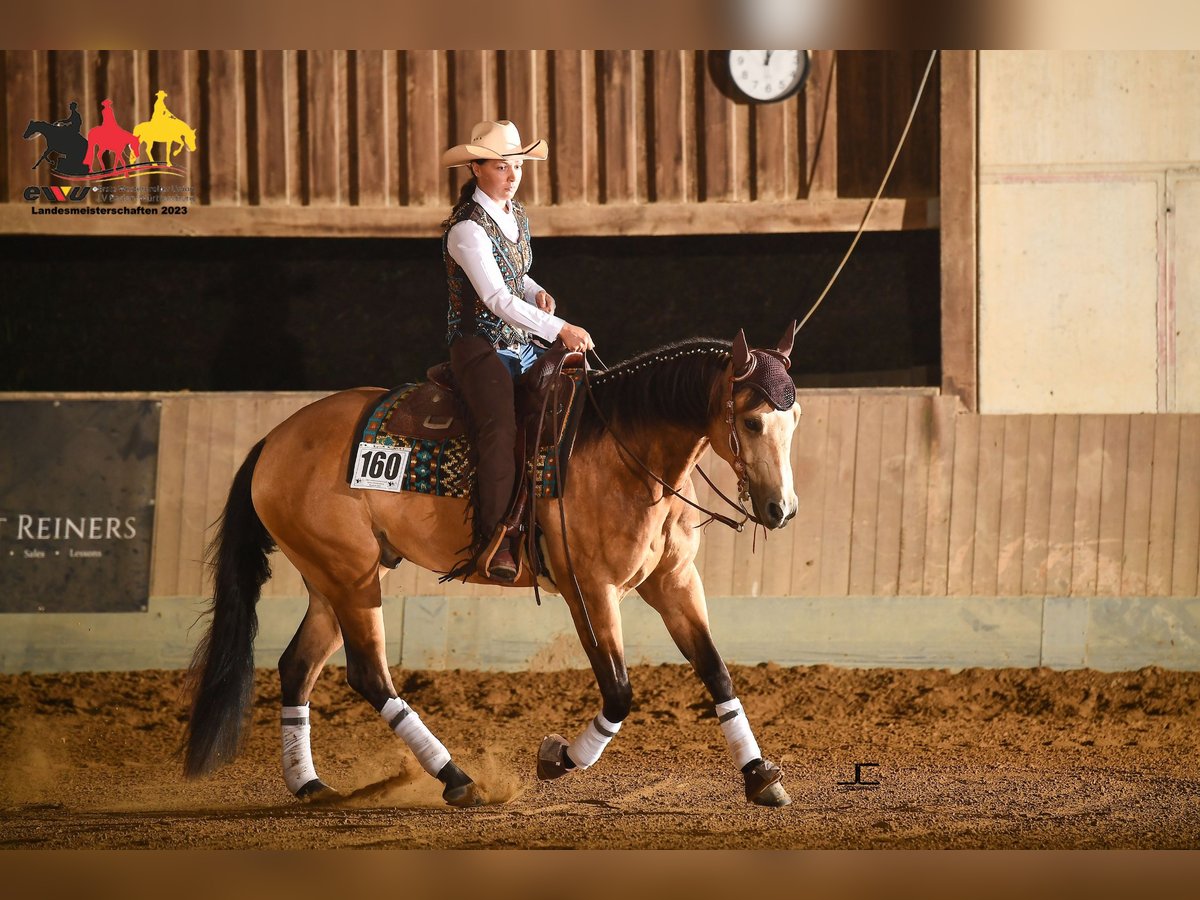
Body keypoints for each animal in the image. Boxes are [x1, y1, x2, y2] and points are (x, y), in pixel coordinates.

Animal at [184, 328, 806, 816]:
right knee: (369, 676)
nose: (782, 510)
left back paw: (309, 784)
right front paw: (558, 757)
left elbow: (717, 672)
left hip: (333, 580)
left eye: (794, 417)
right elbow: (619, 692)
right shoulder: (590, 592)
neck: (624, 452)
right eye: (753, 421)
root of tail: (274, 440)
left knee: (297, 667)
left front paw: (759, 777)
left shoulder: (674, 583)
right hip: (349, 577)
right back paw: (456, 779)